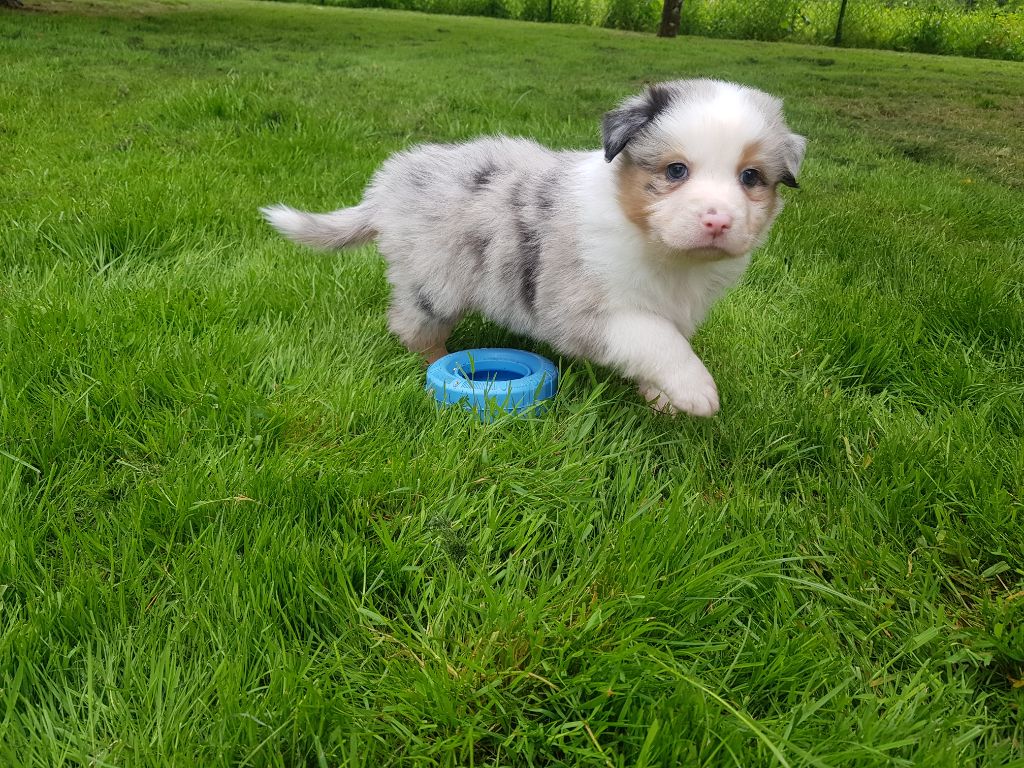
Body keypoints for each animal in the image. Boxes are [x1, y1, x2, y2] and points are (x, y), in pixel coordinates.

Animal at [262, 79, 805, 416]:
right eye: (676, 171)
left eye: (751, 178)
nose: (718, 219)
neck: (664, 252)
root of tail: (386, 188)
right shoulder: (585, 310)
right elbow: (656, 340)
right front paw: (696, 392)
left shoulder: (677, 307)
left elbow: (666, 341)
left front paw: (663, 400)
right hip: (433, 280)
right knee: (408, 322)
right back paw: (431, 358)